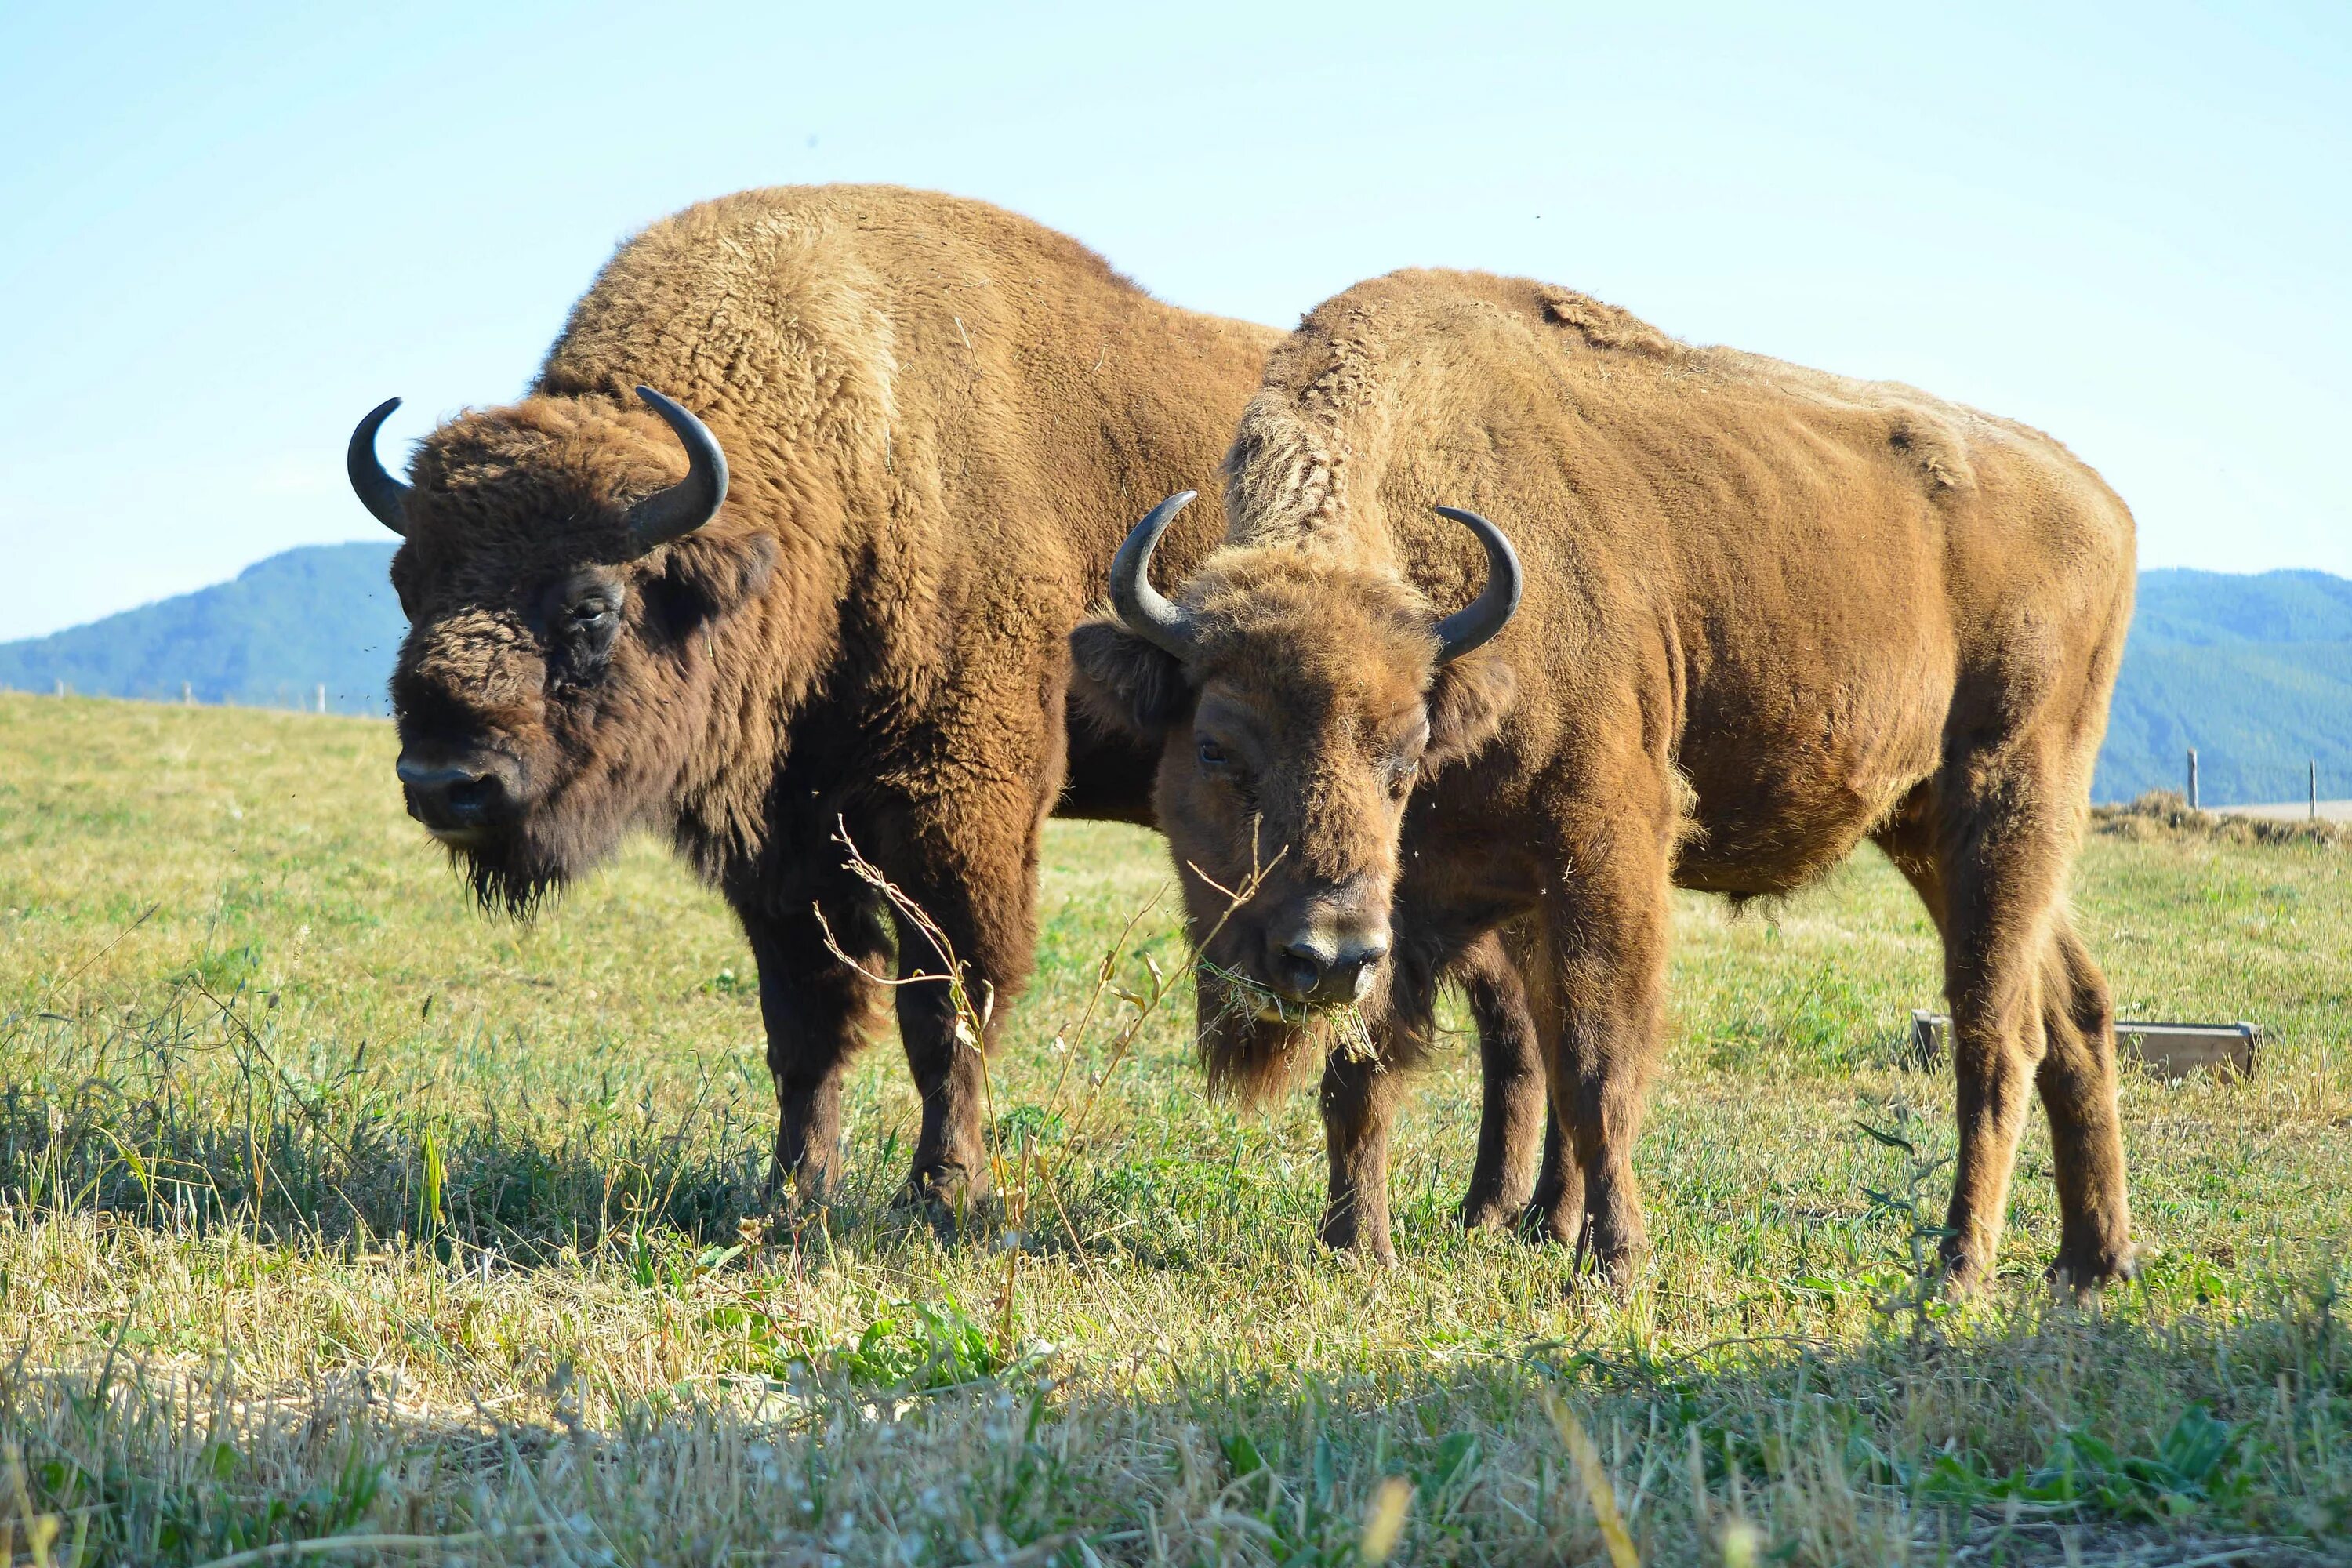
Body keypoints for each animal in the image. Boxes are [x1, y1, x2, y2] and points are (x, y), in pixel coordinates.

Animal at [336, 190, 1543, 1222]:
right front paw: (789, 1193)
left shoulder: (953, 813)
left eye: (590, 605)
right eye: (407, 583)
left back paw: (1504, 1214)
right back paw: (1493, 1213)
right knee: (1508, 1006)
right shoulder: (784, 848)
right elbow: (809, 1021)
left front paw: (943, 1192)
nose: (445, 782)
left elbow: (948, 1003)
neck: (843, 445)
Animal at [1077, 270, 2145, 1298]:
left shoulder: (1604, 849)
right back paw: (2092, 1264)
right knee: (2079, 1007)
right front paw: (1357, 1249)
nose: (1324, 956)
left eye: (1402, 756)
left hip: (2006, 798)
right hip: (1928, 826)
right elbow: (1366, 1072)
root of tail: (2104, 503)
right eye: (1216, 748)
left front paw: (1613, 1264)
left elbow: (1595, 1064)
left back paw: (1961, 1273)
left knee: (1998, 1030)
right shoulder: (1417, 902)